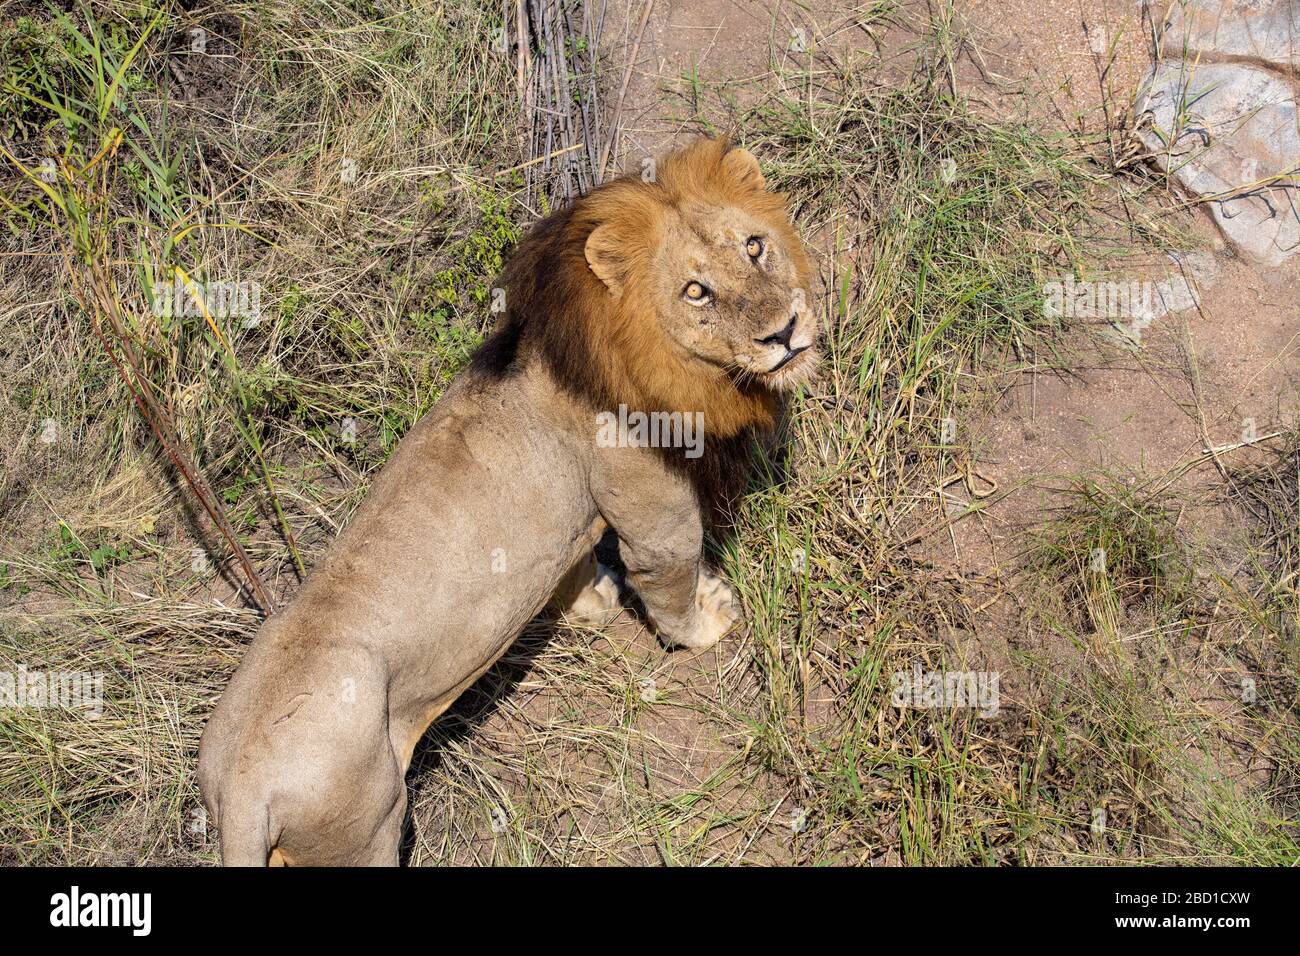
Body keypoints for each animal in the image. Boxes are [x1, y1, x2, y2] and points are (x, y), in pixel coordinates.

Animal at [197, 137, 817, 865]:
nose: (784, 331)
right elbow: (669, 579)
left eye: (754, 247)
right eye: (697, 291)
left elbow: (570, 566)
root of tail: (241, 793)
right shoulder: (653, 512)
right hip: (361, 826)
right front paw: (705, 623)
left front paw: (590, 604)